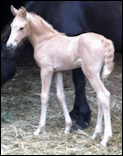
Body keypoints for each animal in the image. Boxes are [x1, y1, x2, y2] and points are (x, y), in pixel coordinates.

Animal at [6, 6, 114, 147]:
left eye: (21, 28)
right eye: (11, 26)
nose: (9, 45)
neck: (45, 40)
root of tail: (104, 41)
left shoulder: (46, 70)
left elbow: (44, 97)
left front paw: (39, 129)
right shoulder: (58, 71)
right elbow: (60, 96)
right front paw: (67, 127)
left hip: (91, 73)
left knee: (104, 95)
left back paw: (105, 139)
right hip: (99, 74)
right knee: (99, 98)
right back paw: (95, 134)